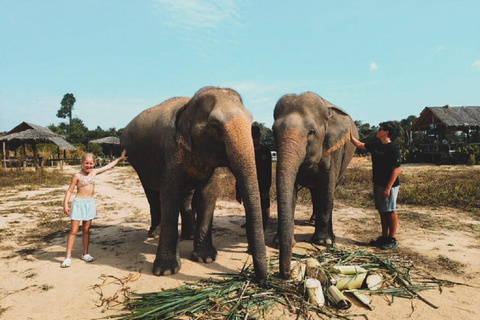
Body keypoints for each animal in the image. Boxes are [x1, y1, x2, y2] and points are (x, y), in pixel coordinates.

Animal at [120, 85, 268, 282]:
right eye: (214, 126)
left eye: (251, 121)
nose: (260, 280)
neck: (189, 105)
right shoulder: (171, 151)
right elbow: (169, 196)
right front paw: (166, 271)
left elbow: (208, 195)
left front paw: (206, 258)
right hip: (137, 162)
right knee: (152, 195)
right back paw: (154, 234)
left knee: (185, 197)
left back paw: (188, 236)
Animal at [272, 92, 358, 278]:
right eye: (273, 131)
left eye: (311, 132)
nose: (285, 273)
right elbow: (292, 192)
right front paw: (280, 242)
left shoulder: (334, 148)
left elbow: (327, 187)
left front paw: (323, 241)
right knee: (314, 193)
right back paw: (312, 220)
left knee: (327, 191)